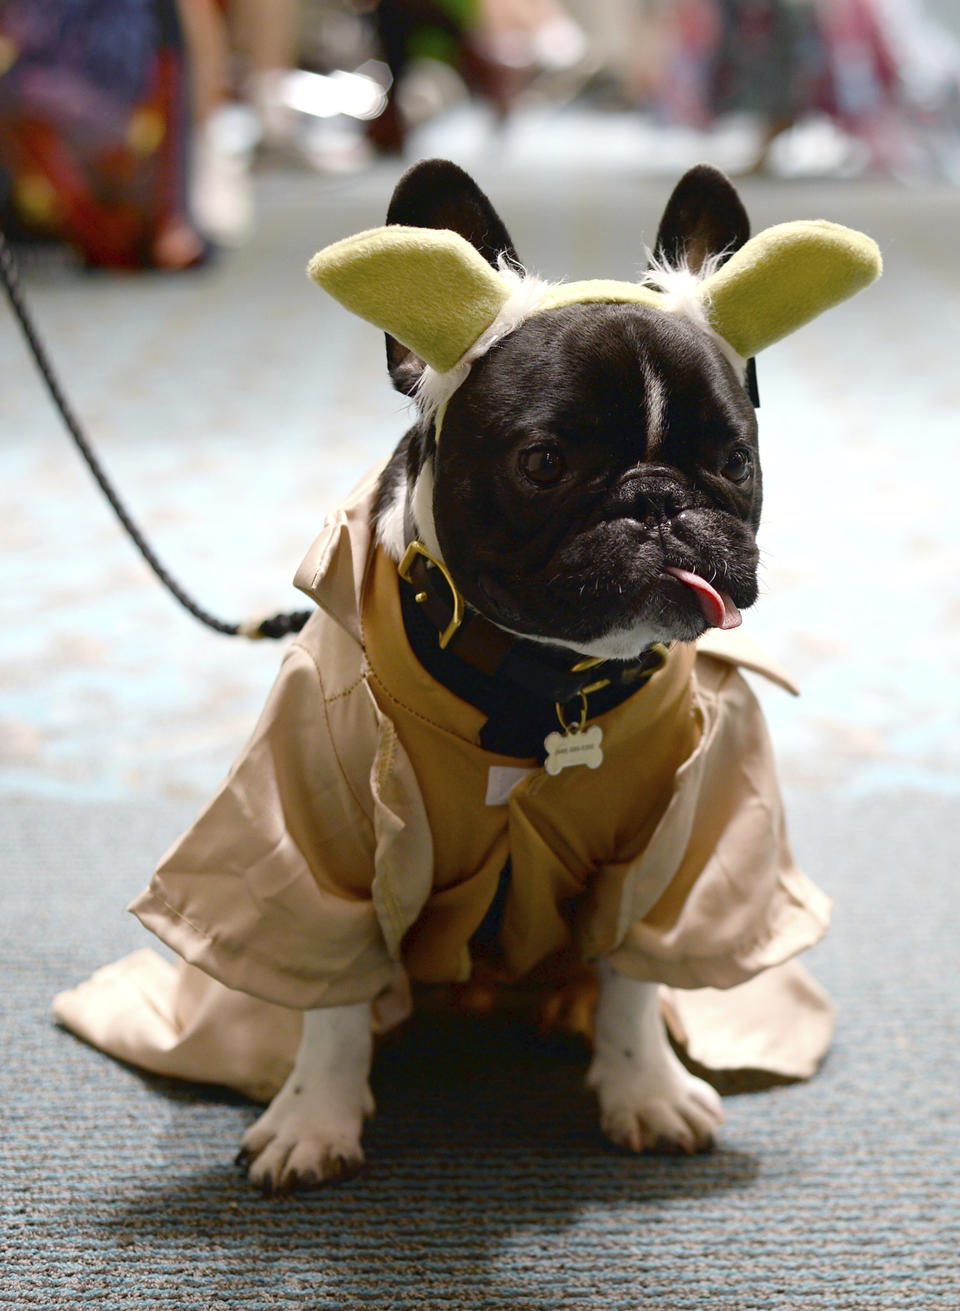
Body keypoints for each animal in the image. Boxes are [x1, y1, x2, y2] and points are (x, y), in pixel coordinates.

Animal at [50, 153, 876, 1190]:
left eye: (732, 460)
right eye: (544, 460)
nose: (656, 501)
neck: (543, 687)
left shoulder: (682, 839)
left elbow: (637, 971)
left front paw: (643, 1089)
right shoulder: (315, 829)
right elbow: (328, 989)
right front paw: (313, 1118)